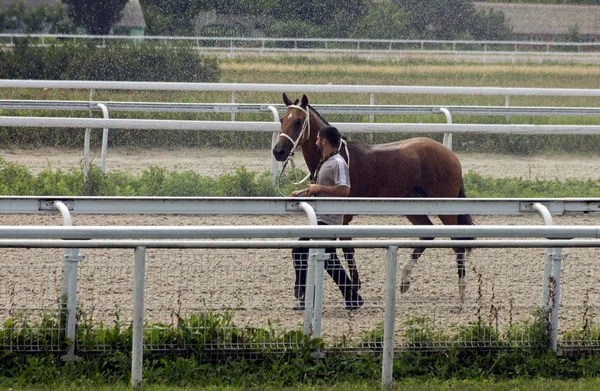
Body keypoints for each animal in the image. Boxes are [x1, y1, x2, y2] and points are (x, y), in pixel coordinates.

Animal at [272, 94, 474, 300]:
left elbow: (348, 249)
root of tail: (451, 155)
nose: (278, 151)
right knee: (427, 234)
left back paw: (462, 290)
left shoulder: (343, 216)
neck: (337, 155)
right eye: (282, 120)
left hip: (445, 207)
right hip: (413, 206)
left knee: (457, 242)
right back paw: (404, 280)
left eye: (298, 122)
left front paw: (354, 286)